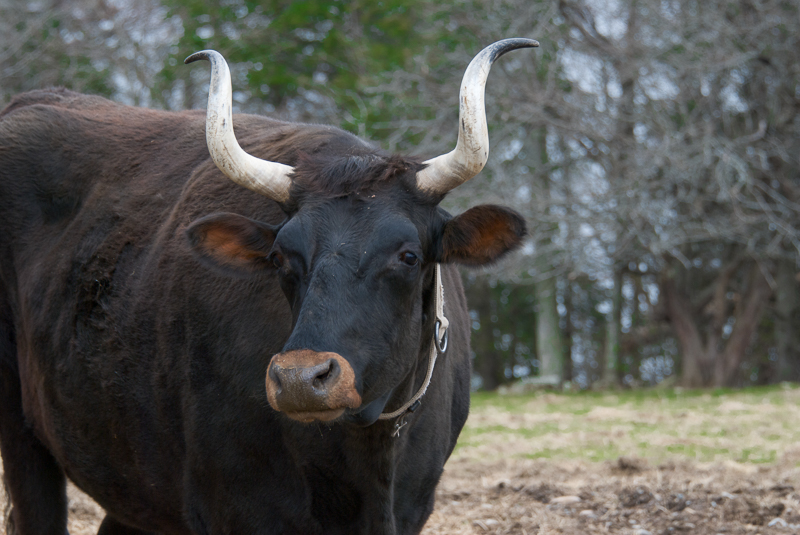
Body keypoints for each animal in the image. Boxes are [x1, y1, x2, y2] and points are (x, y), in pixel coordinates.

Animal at [0, 39, 536, 532]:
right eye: (280, 256)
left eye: (408, 256)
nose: (300, 379)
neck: (368, 461)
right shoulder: (233, 507)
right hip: (22, 435)